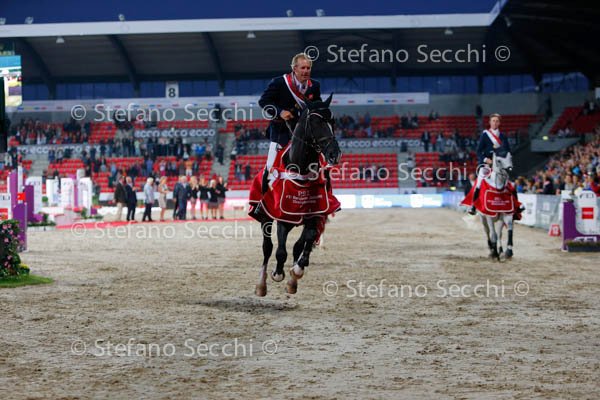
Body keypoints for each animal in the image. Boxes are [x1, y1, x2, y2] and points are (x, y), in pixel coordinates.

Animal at [250, 94, 342, 296]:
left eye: (333, 120)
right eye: (315, 121)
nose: (334, 153)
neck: (301, 170)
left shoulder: (315, 215)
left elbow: (304, 245)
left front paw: (295, 274)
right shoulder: (283, 216)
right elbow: (280, 251)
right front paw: (278, 274)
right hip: (265, 216)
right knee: (267, 248)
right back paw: (261, 284)